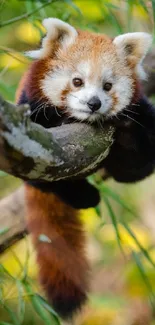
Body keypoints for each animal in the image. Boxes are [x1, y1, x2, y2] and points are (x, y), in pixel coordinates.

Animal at [15, 17, 153, 316]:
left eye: (108, 85)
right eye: (77, 81)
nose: (94, 103)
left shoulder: (144, 114)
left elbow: (139, 167)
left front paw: (124, 128)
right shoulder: (30, 116)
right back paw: (86, 196)